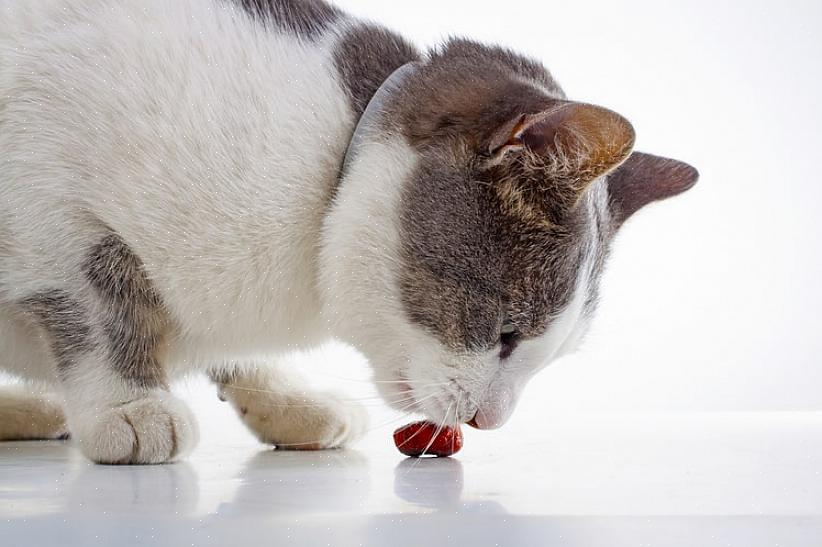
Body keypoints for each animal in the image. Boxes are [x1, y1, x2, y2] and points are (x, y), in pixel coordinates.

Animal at [0, 0, 700, 464]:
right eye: (506, 335)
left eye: (550, 355)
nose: (490, 420)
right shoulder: (47, 192)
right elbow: (100, 298)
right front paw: (128, 404)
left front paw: (286, 400)